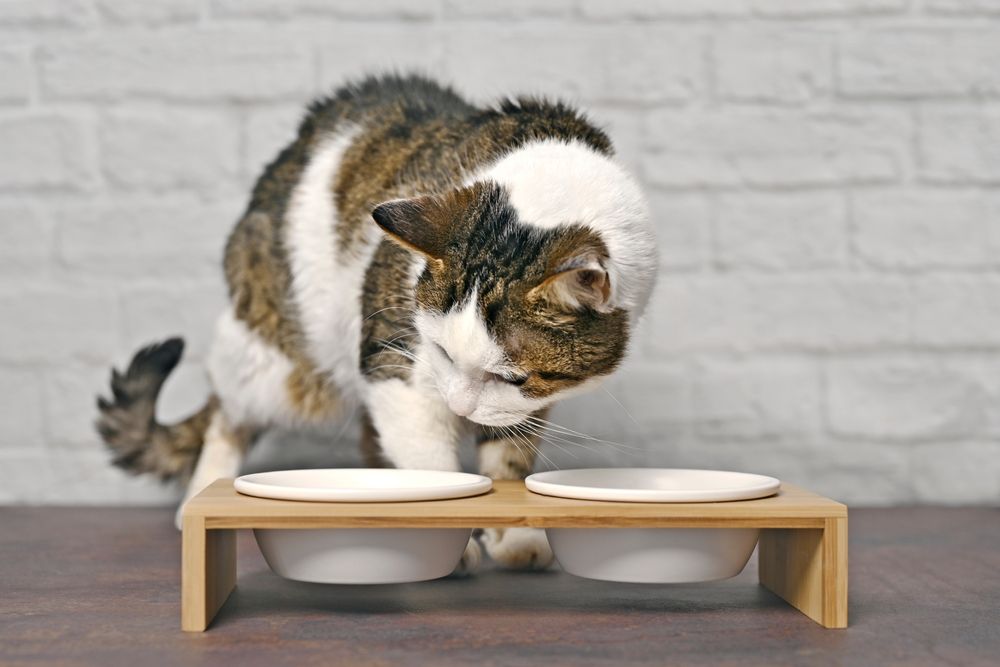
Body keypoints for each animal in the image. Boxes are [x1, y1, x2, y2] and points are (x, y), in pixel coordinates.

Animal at [97, 74, 660, 576]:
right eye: (441, 351)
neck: (551, 192)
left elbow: (509, 457)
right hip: (275, 356)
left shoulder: (524, 401)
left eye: (513, 376)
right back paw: (201, 493)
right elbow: (432, 464)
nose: (458, 407)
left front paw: (514, 535)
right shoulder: (396, 360)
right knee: (226, 415)